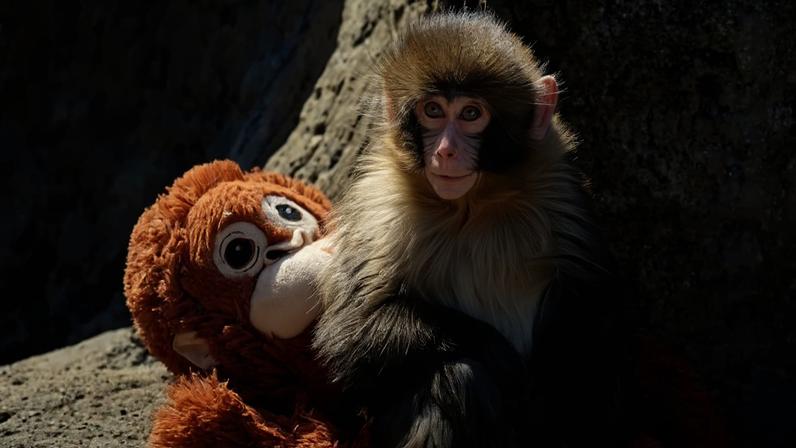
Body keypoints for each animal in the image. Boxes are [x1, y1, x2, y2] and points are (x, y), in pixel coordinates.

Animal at [313, 11, 630, 448]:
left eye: (469, 114)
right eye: (433, 110)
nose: (445, 151)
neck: (469, 206)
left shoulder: (559, 191)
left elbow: (594, 307)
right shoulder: (377, 208)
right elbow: (350, 330)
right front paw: (498, 356)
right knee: (456, 374)